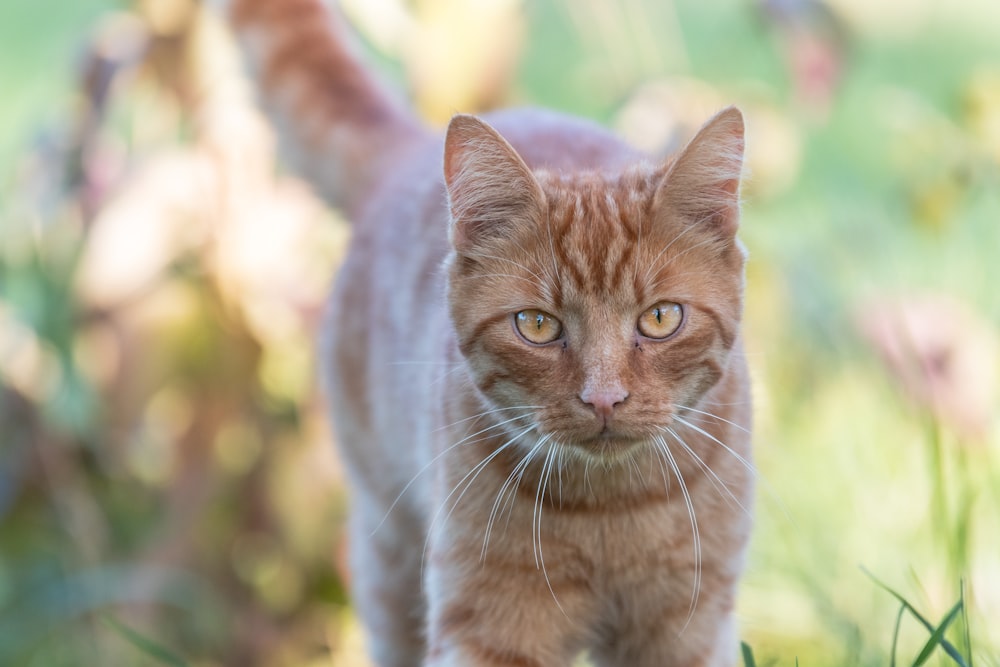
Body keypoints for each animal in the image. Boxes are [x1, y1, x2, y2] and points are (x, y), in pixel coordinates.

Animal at [230, 2, 752, 664]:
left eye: (660, 318)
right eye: (537, 325)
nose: (604, 398)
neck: (608, 508)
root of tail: (415, 148)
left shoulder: (690, 626)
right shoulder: (488, 623)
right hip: (388, 550)